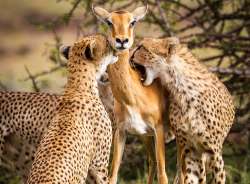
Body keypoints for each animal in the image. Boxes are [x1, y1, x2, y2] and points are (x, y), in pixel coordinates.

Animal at [132, 36, 235, 183]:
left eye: (142, 47)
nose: (130, 54)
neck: (180, 88)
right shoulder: (191, 150)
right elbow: (191, 177)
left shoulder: (214, 152)